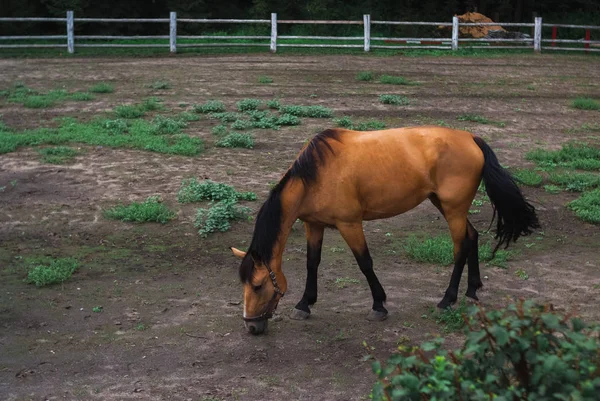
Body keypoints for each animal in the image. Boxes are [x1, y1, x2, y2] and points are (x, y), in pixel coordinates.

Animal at [230, 126, 540, 332]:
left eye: (257, 285)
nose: (251, 327)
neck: (315, 175)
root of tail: (471, 138)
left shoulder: (350, 224)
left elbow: (365, 263)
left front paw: (379, 305)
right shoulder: (314, 225)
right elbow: (312, 263)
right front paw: (305, 304)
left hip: (453, 209)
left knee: (460, 247)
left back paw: (447, 299)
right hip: (445, 205)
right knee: (472, 237)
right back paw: (472, 289)